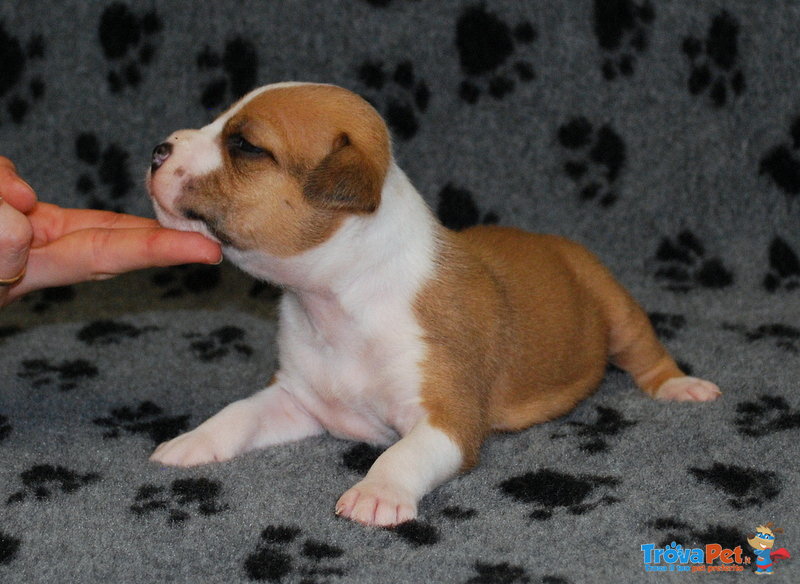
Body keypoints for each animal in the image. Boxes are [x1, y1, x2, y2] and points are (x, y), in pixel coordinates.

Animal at [147, 83, 720, 528]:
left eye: (244, 145)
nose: (157, 148)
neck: (336, 302)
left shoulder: (447, 420)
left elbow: (402, 453)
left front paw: (377, 493)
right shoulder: (297, 399)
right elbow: (239, 413)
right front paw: (192, 440)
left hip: (615, 308)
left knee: (646, 352)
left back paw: (682, 386)